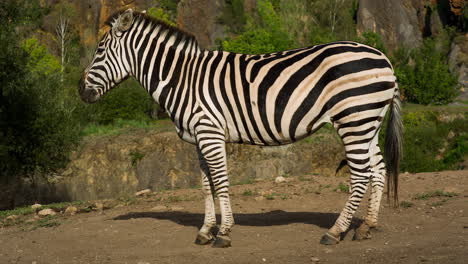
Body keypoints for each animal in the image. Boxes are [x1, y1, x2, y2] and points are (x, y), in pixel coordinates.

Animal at [79, 8, 402, 248]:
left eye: (99, 50)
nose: (81, 92)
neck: (182, 78)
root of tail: (384, 58)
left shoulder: (210, 132)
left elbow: (221, 182)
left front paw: (223, 234)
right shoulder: (199, 138)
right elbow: (206, 185)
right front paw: (205, 231)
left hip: (353, 119)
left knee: (360, 175)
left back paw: (334, 232)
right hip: (367, 121)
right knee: (378, 169)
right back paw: (367, 227)